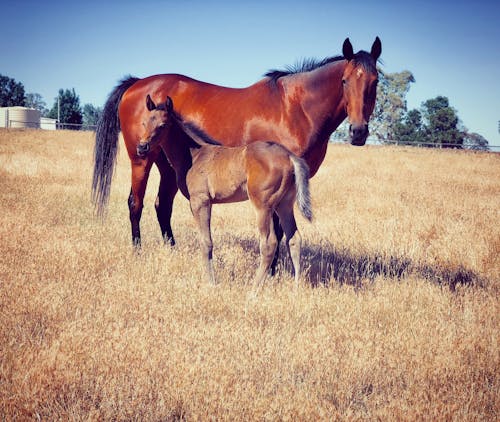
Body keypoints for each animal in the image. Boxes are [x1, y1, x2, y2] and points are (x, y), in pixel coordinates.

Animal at [141, 95, 312, 286]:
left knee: (269, 244)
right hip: (284, 204)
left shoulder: (201, 201)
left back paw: (254, 288)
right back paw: (296, 287)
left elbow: (206, 242)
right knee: (294, 239)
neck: (194, 156)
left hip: (263, 205)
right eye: (144, 123)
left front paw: (210, 283)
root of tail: (289, 156)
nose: (142, 147)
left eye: (162, 125)